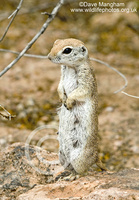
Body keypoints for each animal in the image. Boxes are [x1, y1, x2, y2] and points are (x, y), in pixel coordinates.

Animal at [48, 38, 106, 176]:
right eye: (55, 43)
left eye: (67, 50)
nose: (49, 57)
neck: (69, 67)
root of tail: (96, 157)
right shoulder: (61, 77)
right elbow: (59, 86)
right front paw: (62, 98)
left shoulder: (86, 80)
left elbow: (80, 91)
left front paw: (68, 102)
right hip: (62, 155)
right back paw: (66, 174)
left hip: (78, 159)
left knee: (83, 171)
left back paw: (74, 176)